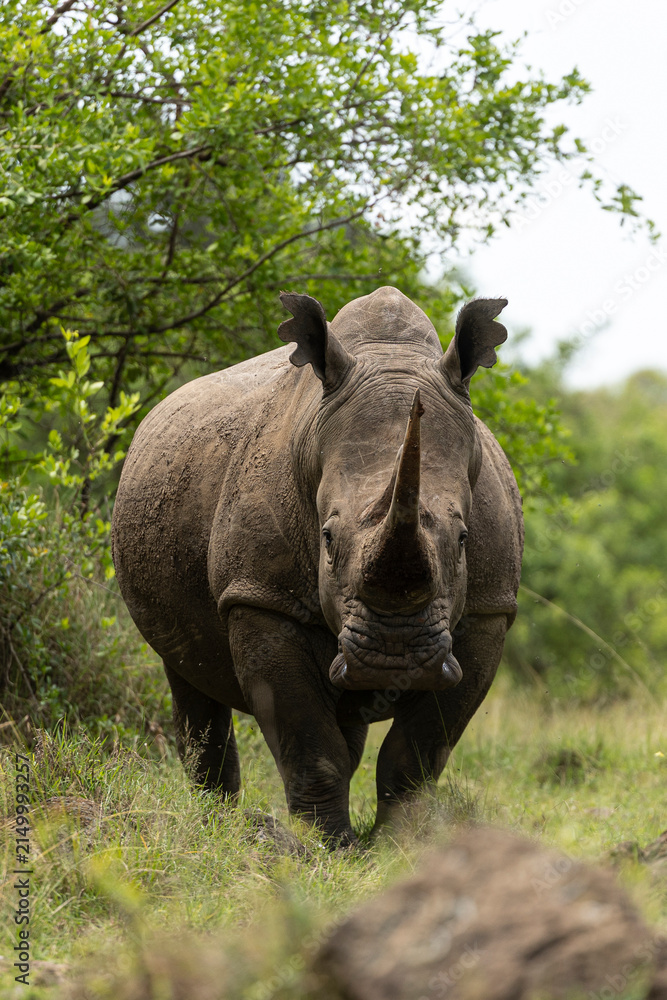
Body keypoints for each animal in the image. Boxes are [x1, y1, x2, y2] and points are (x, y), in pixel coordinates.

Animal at [112, 286, 523, 845]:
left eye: (463, 540)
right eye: (326, 538)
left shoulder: (488, 608)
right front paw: (326, 848)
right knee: (186, 675)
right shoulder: (261, 597)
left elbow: (416, 752)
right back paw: (216, 826)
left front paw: (399, 845)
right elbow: (309, 743)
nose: (394, 659)